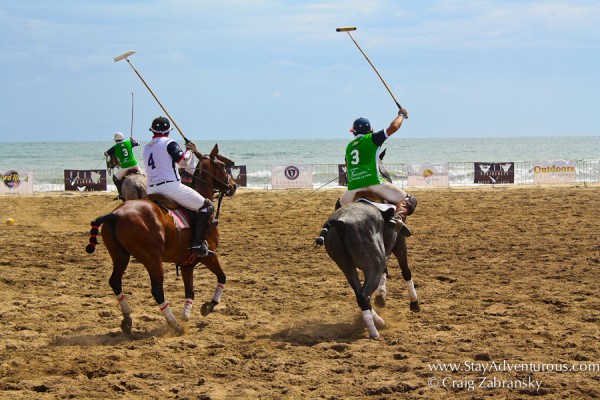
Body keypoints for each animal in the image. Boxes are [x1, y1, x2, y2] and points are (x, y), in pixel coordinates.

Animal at [86, 144, 237, 334]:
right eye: (223, 166)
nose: (234, 185)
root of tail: (115, 214)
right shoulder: (209, 255)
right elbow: (222, 277)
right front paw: (209, 305)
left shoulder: (187, 263)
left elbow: (190, 292)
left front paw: (186, 315)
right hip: (152, 258)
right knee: (157, 290)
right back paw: (174, 324)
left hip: (120, 256)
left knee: (115, 282)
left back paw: (128, 319)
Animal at [316, 152, 420, 340]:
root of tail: (340, 223)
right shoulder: (399, 244)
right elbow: (406, 271)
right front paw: (414, 302)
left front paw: (381, 297)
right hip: (373, 265)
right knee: (364, 294)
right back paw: (375, 331)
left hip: (346, 266)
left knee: (360, 295)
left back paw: (378, 321)